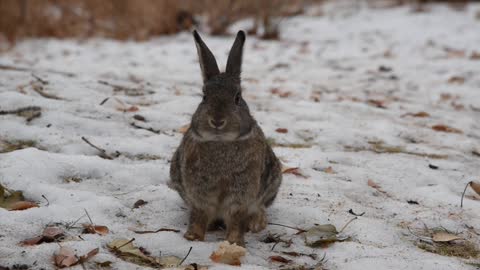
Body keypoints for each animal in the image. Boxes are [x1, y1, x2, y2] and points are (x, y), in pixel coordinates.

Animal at [168, 30, 284, 247]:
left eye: (237, 98)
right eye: (204, 97)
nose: (217, 121)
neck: (221, 142)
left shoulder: (240, 193)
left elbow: (236, 217)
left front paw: (234, 242)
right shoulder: (199, 192)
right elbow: (199, 214)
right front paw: (193, 237)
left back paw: (257, 223)